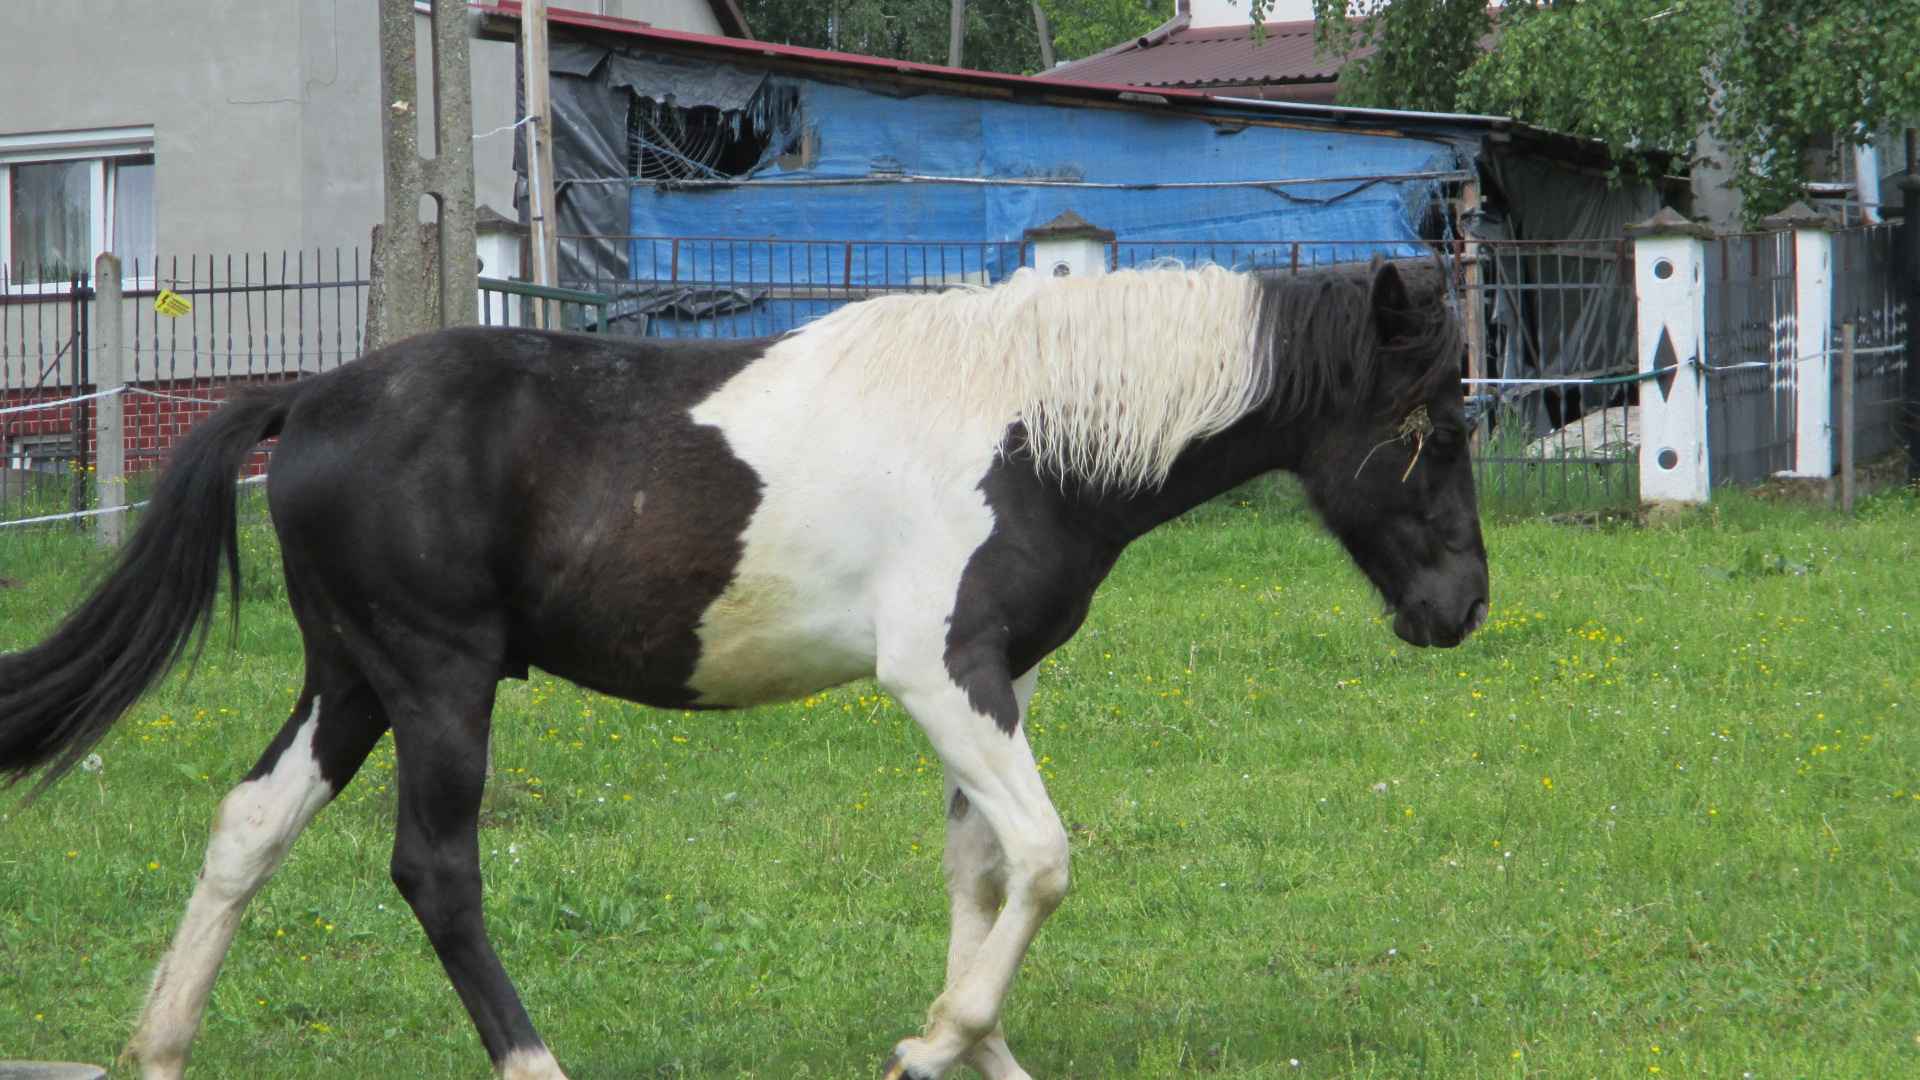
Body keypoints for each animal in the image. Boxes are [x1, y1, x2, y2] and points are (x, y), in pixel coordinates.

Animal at [0, 261, 1482, 1076]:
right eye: (1428, 424)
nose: (1461, 606)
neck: (1027, 429)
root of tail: (307, 397)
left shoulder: (995, 686)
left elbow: (986, 870)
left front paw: (965, 1046)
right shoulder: (941, 675)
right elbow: (1047, 858)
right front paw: (936, 1041)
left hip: (352, 683)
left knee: (246, 829)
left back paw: (159, 1048)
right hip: (438, 685)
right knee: (435, 872)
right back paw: (536, 1062)